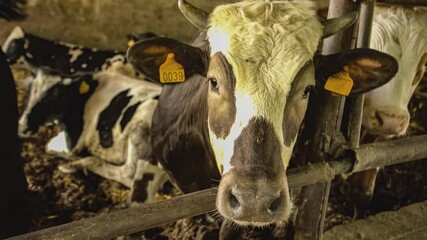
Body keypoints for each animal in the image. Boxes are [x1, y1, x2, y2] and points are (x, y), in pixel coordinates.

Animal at [18, 70, 170, 203]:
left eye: (51, 98)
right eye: (29, 94)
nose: (22, 126)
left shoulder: (73, 141)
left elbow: (48, 146)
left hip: (139, 128)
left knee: (127, 173)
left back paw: (75, 164)